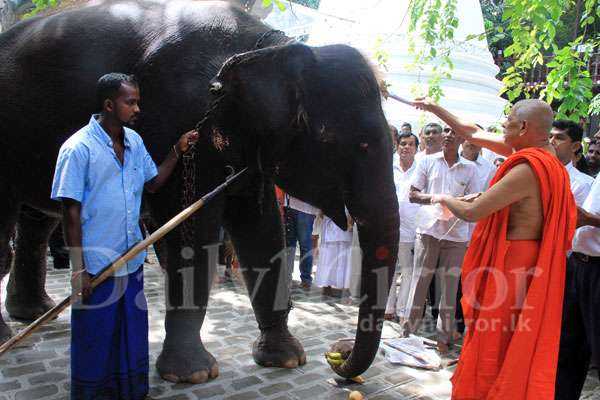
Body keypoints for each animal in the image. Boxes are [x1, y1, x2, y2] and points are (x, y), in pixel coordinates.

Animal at [0, 0, 400, 382]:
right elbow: (191, 232)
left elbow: (262, 231)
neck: (269, 46)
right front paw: (192, 374)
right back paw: (10, 334)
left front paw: (286, 358)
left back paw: (34, 312)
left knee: (38, 221)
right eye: (360, 145)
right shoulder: (180, 115)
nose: (339, 356)